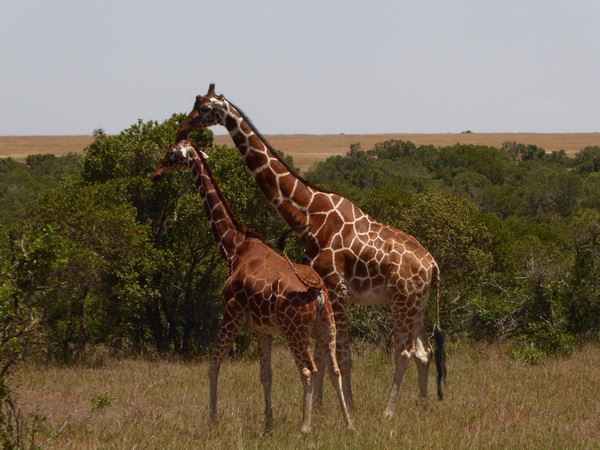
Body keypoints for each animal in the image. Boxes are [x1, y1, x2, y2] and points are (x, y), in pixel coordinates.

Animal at [152, 139, 354, 434]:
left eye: (170, 153)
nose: (156, 173)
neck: (234, 248)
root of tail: (317, 291)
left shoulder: (231, 315)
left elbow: (213, 365)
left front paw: (212, 419)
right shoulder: (262, 329)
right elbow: (265, 375)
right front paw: (268, 424)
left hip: (295, 332)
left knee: (309, 370)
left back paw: (304, 429)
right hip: (326, 328)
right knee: (334, 369)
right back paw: (350, 425)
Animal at [176, 85, 448, 418]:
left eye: (203, 109)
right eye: (194, 104)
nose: (182, 127)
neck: (308, 213)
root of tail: (432, 265)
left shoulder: (336, 288)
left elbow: (342, 358)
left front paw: (349, 409)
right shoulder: (320, 290)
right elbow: (321, 355)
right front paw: (319, 409)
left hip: (402, 300)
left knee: (404, 352)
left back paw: (388, 412)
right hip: (418, 303)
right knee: (424, 352)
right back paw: (422, 406)